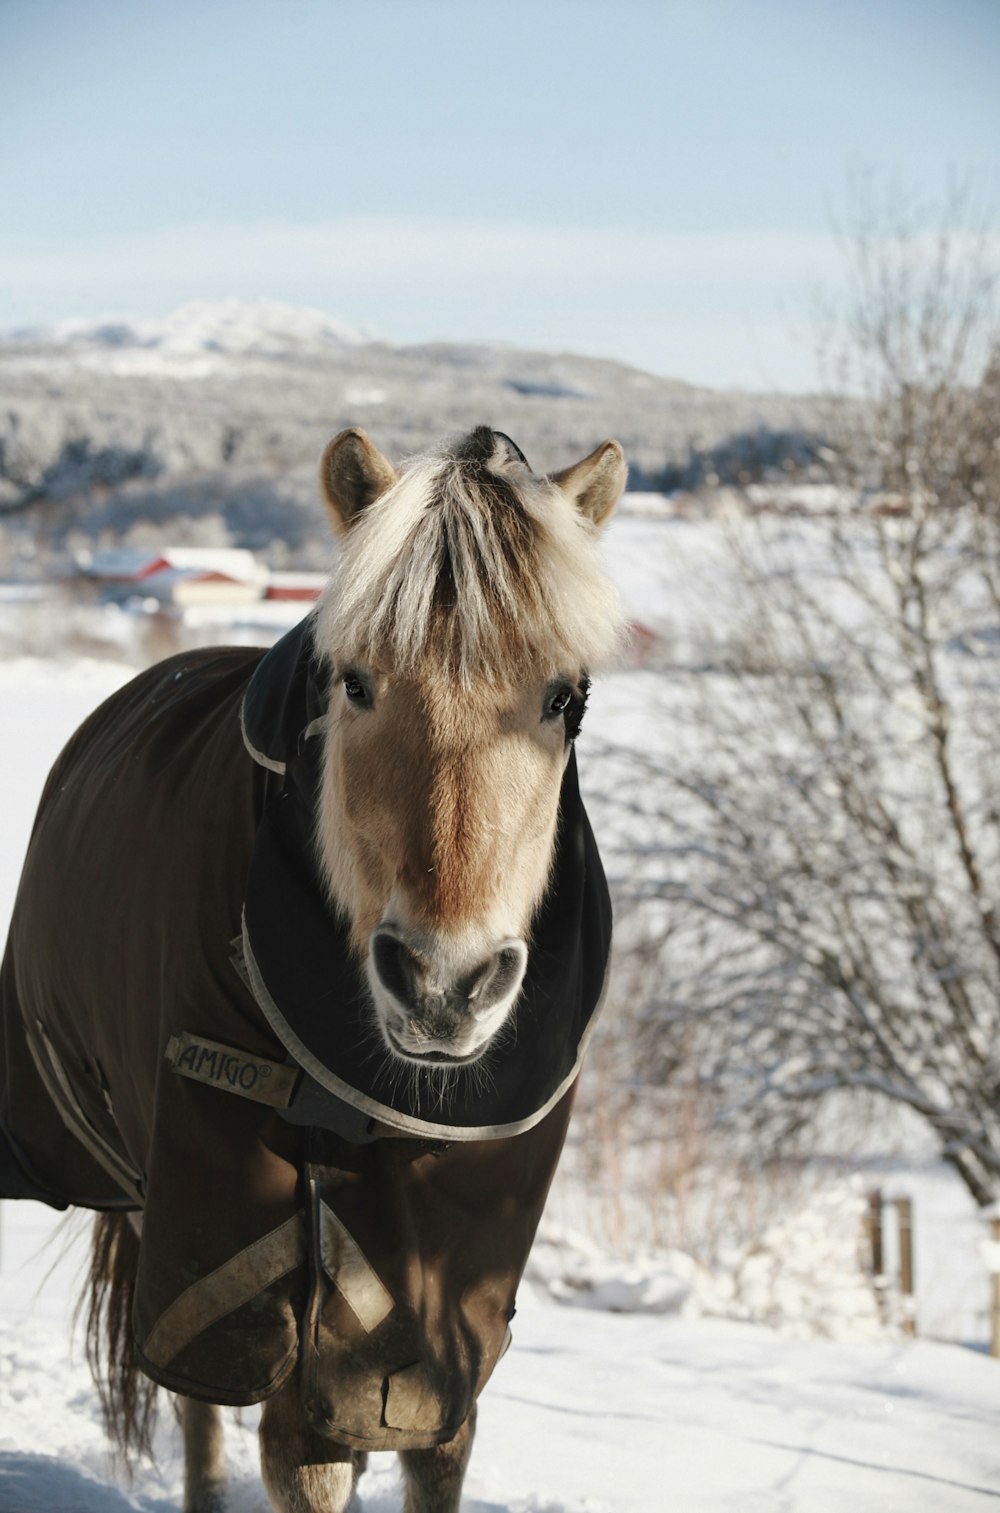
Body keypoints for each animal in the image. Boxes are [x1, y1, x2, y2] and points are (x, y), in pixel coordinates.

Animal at [0, 426, 623, 1513]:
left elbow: (432, 1436)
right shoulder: (225, 1207)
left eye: (562, 699)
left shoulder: (449, 1259)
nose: (443, 983)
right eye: (357, 682)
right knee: (202, 1401)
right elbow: (297, 1444)